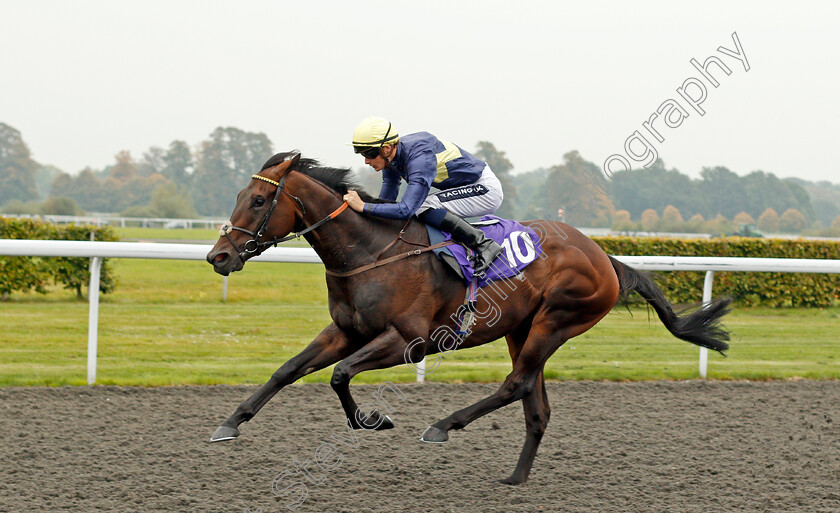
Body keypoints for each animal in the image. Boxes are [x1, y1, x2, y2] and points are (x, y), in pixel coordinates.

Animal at [203, 152, 728, 484]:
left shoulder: (409, 340)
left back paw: (442, 426)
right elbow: (289, 369)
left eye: (257, 201)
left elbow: (340, 375)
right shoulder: (347, 330)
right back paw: (515, 478)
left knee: (515, 385)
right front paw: (229, 423)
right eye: (239, 196)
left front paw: (372, 420)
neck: (370, 251)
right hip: (523, 327)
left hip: (556, 321)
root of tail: (604, 256)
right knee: (535, 404)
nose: (218, 256)